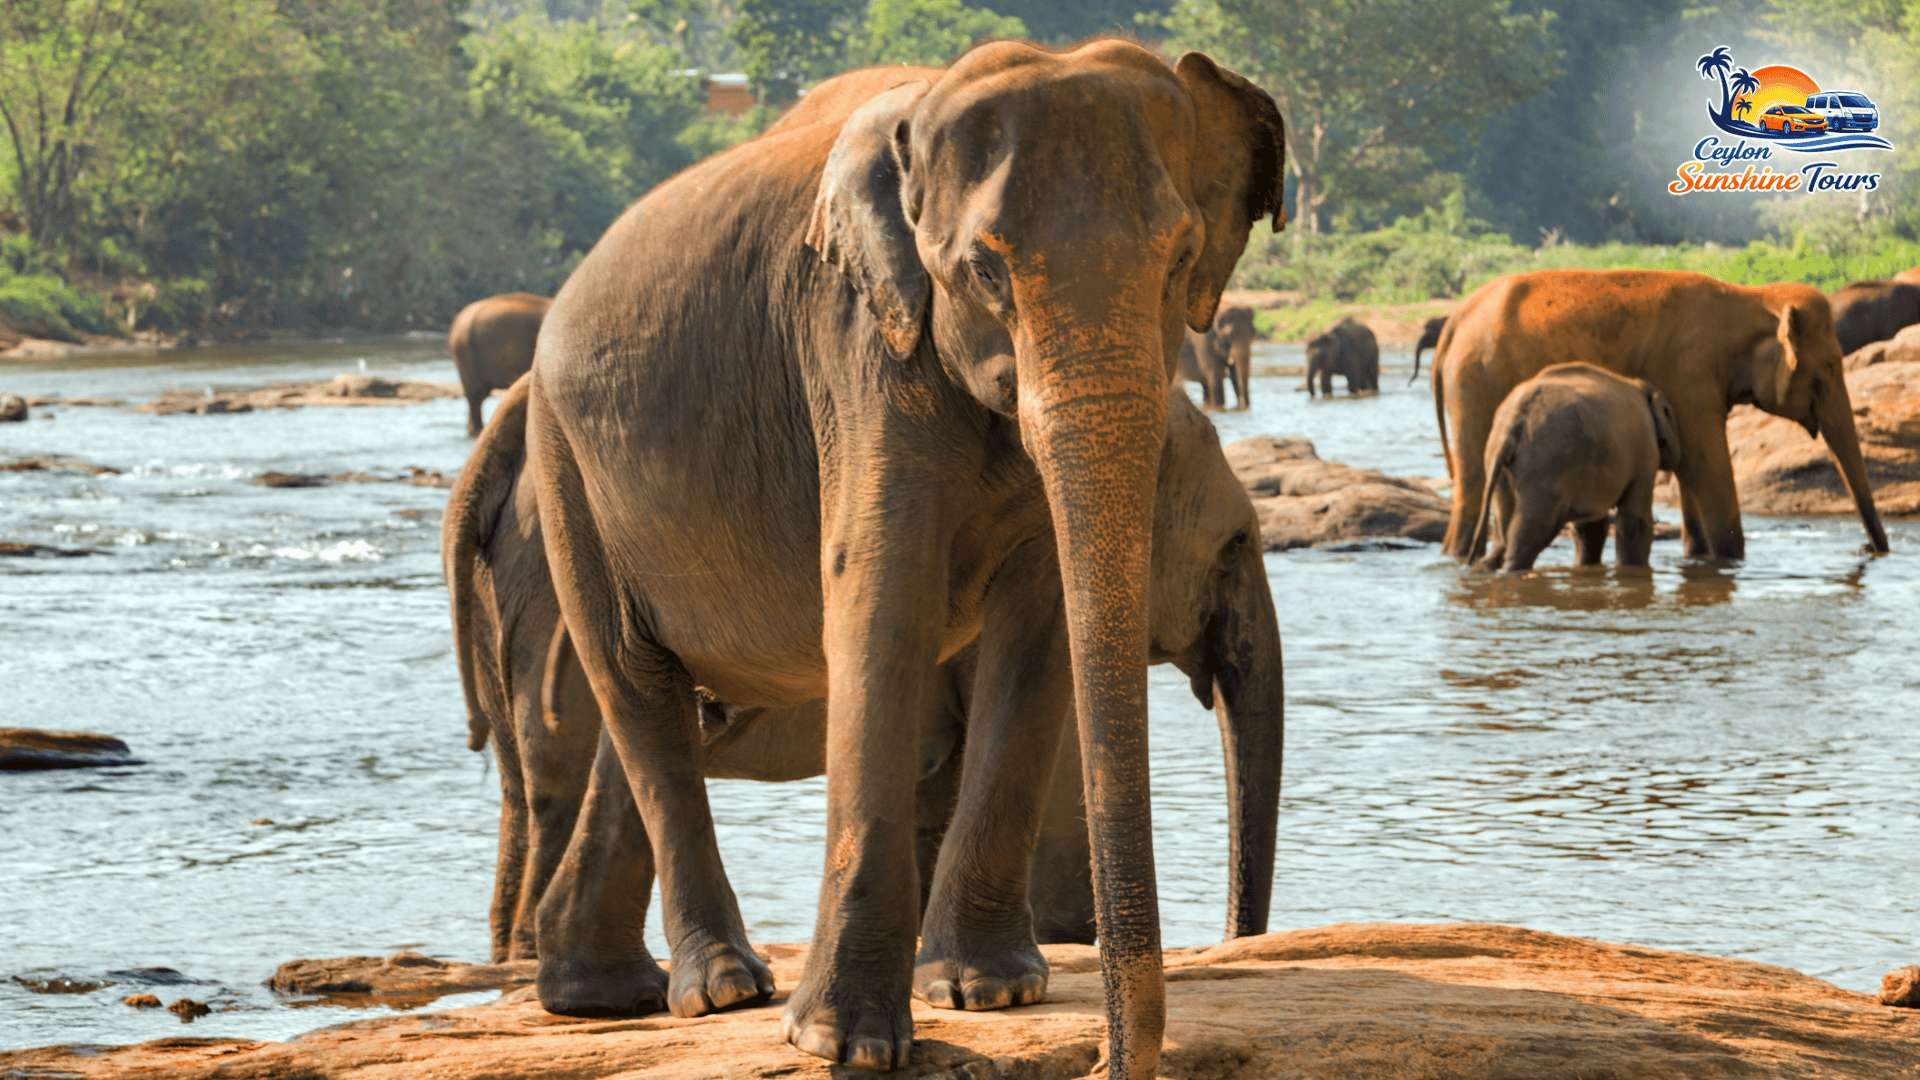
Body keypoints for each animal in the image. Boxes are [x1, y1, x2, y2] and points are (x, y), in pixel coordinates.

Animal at [1468, 362, 1682, 572]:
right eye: (1670, 413)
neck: (1640, 386)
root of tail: (1513, 423)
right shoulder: (1645, 452)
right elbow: (1634, 521)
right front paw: (1634, 570)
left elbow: (1589, 526)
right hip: (1547, 463)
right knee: (1537, 526)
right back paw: (1512, 569)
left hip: (1499, 462)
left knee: (1506, 520)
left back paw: (1487, 566)